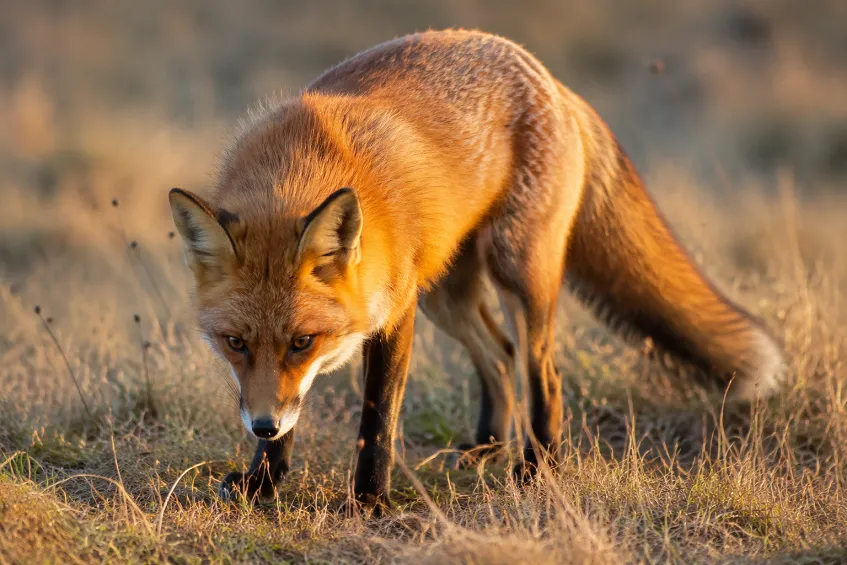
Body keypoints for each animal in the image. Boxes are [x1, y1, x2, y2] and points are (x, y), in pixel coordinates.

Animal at [169, 29, 786, 512]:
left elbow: (377, 419)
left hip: (517, 272)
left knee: (544, 372)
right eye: (234, 342)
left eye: (303, 341)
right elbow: (296, 420)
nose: (262, 425)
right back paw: (488, 446)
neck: (298, 169)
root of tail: (550, 79)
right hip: (447, 291)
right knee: (500, 354)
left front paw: (369, 501)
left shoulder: (396, 312)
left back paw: (536, 469)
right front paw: (262, 482)